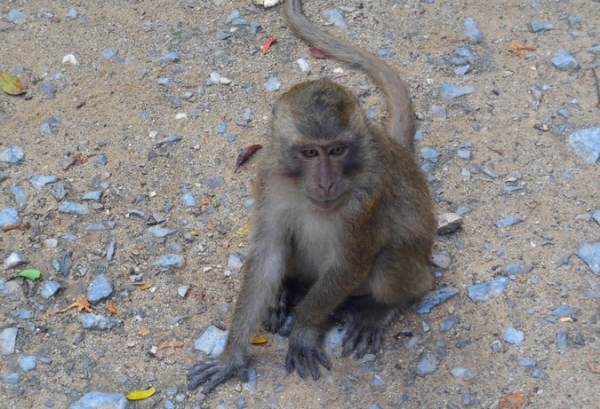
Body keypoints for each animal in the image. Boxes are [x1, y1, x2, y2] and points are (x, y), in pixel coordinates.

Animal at [188, 0, 436, 392]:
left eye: (336, 150)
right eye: (309, 153)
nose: (325, 183)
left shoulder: (368, 195)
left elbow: (350, 263)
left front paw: (303, 332)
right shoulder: (269, 179)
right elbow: (267, 255)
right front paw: (231, 357)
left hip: (412, 269)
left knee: (392, 261)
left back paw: (380, 308)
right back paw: (284, 292)